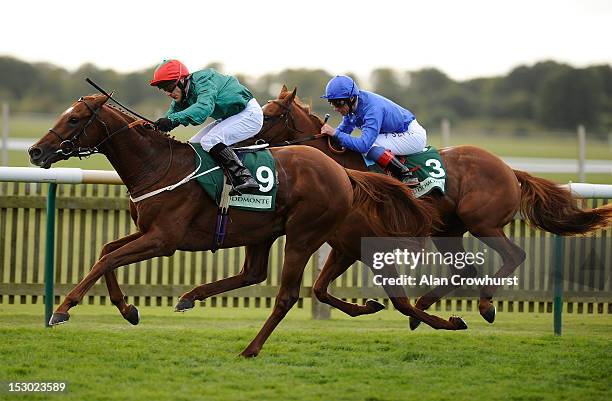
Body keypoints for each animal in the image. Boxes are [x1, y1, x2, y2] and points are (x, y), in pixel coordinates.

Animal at [27, 94, 444, 356]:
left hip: (305, 234)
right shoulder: (149, 232)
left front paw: (62, 309)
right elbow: (106, 252)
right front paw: (127, 309)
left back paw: (251, 348)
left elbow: (106, 260)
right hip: (266, 232)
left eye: (75, 119)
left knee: (287, 295)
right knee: (255, 274)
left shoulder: (164, 239)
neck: (157, 165)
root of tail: (342, 171)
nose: (35, 151)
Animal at [240, 86, 612, 326]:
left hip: (483, 223)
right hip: (447, 231)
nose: (241, 142)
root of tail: (510, 169)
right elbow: (319, 289)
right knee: (465, 271)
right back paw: (427, 306)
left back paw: (485, 304)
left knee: (514, 255)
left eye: (269, 116)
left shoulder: (365, 242)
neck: (342, 168)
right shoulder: (344, 244)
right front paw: (372, 306)